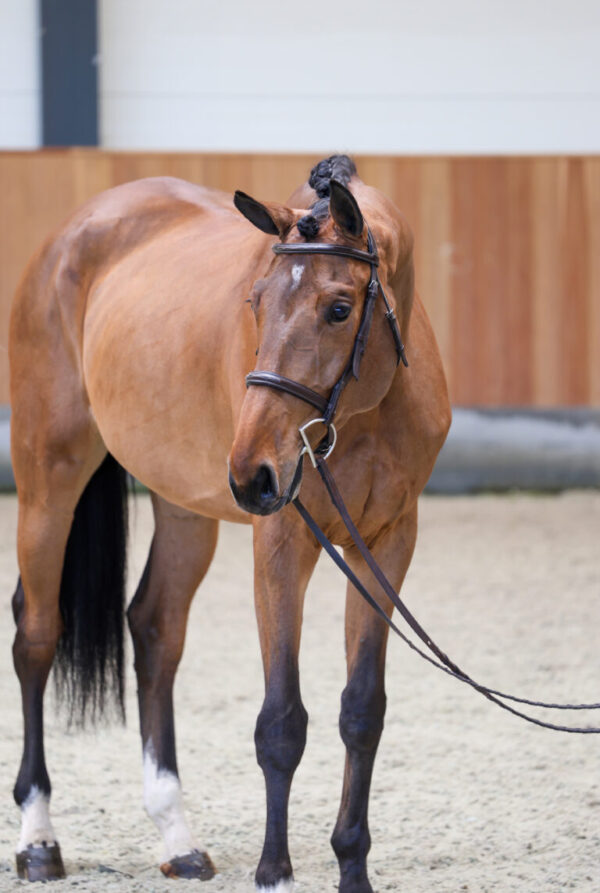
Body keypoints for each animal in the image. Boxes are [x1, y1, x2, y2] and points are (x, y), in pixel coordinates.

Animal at [9, 154, 450, 891]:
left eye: (339, 308)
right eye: (256, 301)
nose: (250, 474)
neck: (365, 411)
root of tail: (71, 234)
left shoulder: (388, 543)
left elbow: (362, 710)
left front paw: (352, 867)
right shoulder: (282, 539)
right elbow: (281, 720)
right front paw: (275, 871)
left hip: (184, 506)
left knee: (155, 630)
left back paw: (177, 836)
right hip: (48, 481)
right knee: (37, 636)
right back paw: (39, 838)